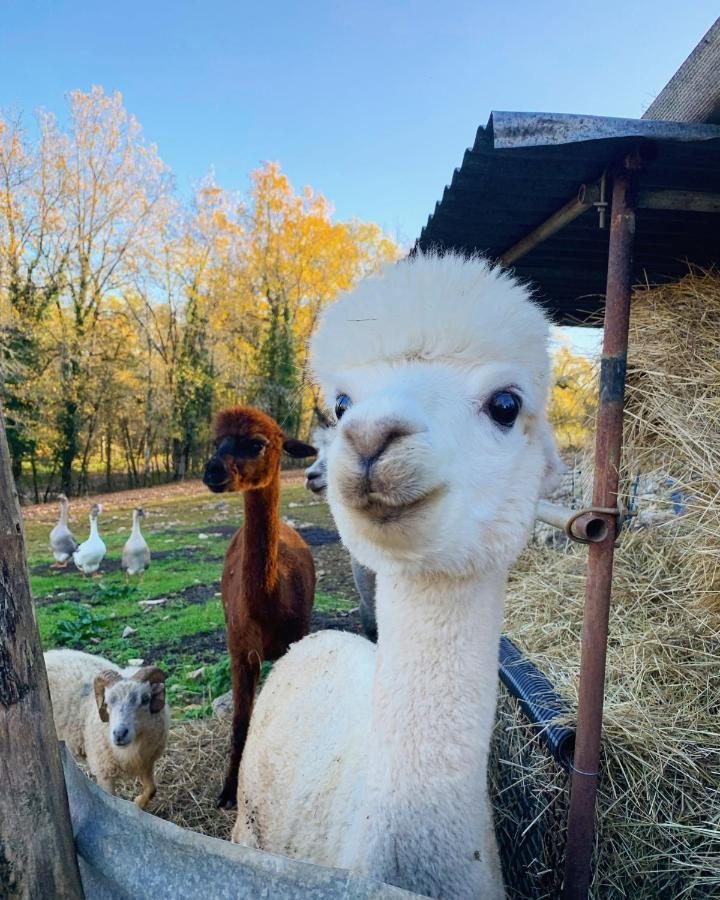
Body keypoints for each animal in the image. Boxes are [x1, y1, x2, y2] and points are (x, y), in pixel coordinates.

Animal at [44, 648, 169, 808]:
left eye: (146, 699)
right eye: (107, 702)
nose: (119, 734)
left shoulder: (147, 762)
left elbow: (152, 789)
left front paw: (138, 803)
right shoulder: (103, 770)